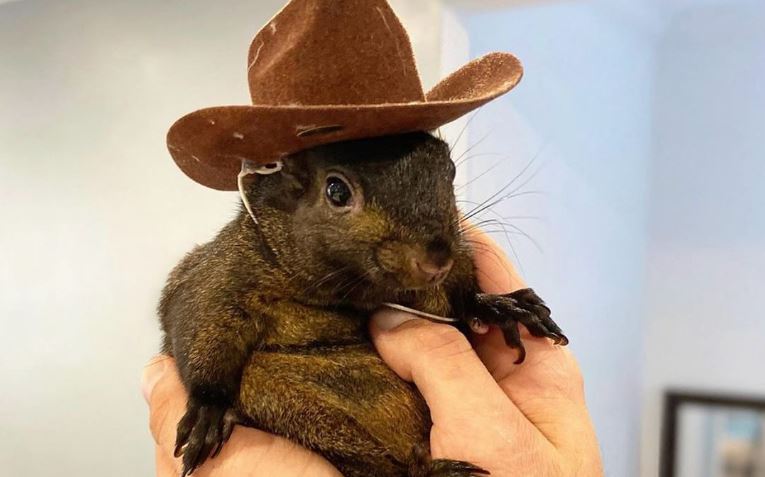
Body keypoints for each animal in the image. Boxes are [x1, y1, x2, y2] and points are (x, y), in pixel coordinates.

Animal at [158, 131, 568, 477]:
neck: (353, 291)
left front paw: (498, 307)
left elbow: (460, 301)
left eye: (449, 171)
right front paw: (208, 409)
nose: (437, 260)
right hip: (279, 396)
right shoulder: (221, 275)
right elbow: (200, 323)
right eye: (336, 191)